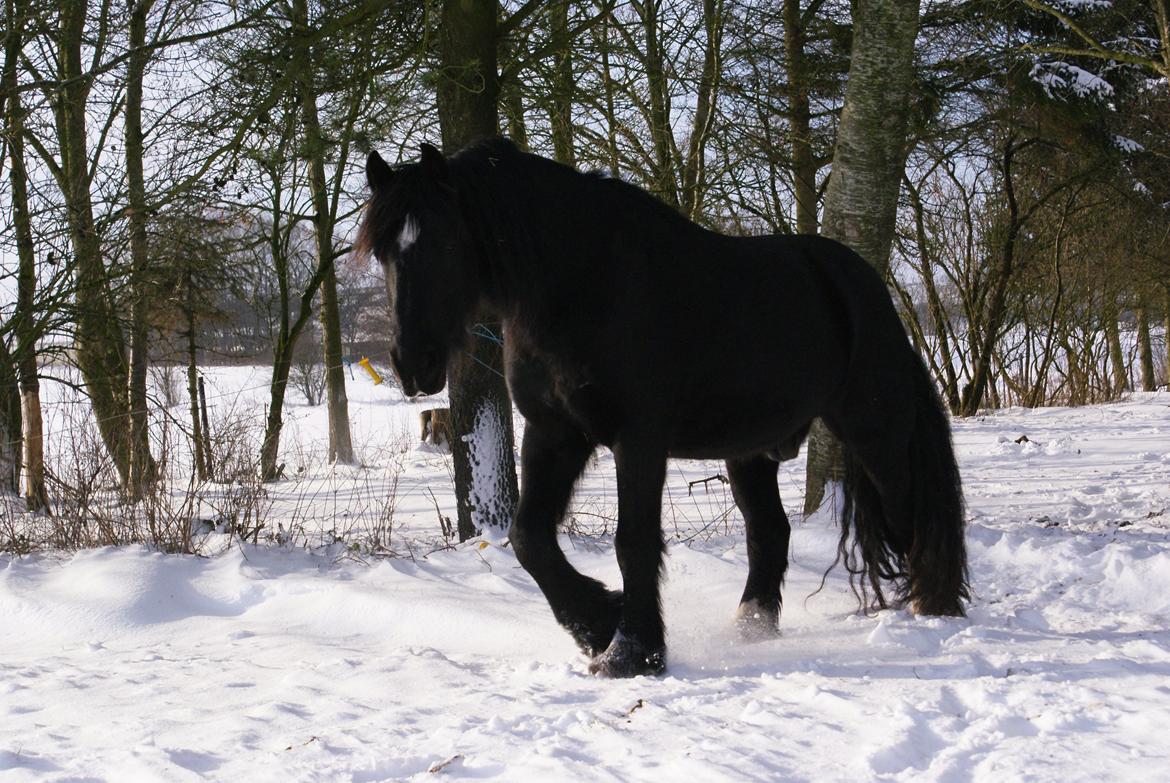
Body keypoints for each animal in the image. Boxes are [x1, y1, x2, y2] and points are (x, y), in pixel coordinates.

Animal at [355, 137, 968, 674]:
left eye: (443, 242)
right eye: (383, 251)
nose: (412, 363)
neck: (582, 286)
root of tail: (861, 282)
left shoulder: (639, 440)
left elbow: (634, 542)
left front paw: (633, 651)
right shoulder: (554, 432)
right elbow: (530, 539)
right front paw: (599, 625)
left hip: (875, 433)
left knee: (909, 515)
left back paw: (932, 607)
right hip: (750, 451)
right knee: (770, 532)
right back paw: (750, 628)